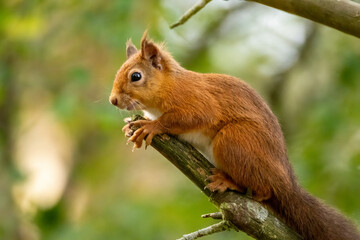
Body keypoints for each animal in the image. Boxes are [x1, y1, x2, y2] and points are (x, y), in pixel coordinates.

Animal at [109, 31, 360, 240]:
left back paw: (228, 181)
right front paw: (131, 126)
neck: (170, 85)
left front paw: (152, 126)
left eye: (136, 76)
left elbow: (187, 118)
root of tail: (286, 182)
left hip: (233, 140)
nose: (113, 100)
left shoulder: (196, 101)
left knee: (263, 190)